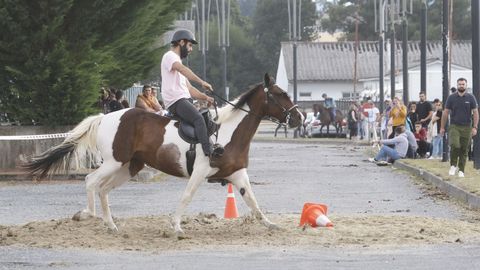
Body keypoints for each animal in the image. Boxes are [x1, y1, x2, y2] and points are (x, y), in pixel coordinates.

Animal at [24, 73, 302, 237]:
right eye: (281, 95)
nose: (298, 118)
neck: (228, 131)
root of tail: (105, 117)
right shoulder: (200, 172)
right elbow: (187, 197)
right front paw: (176, 226)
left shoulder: (238, 174)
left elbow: (253, 201)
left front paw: (270, 225)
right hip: (114, 162)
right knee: (91, 181)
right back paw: (86, 215)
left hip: (129, 167)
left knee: (103, 189)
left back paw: (112, 225)